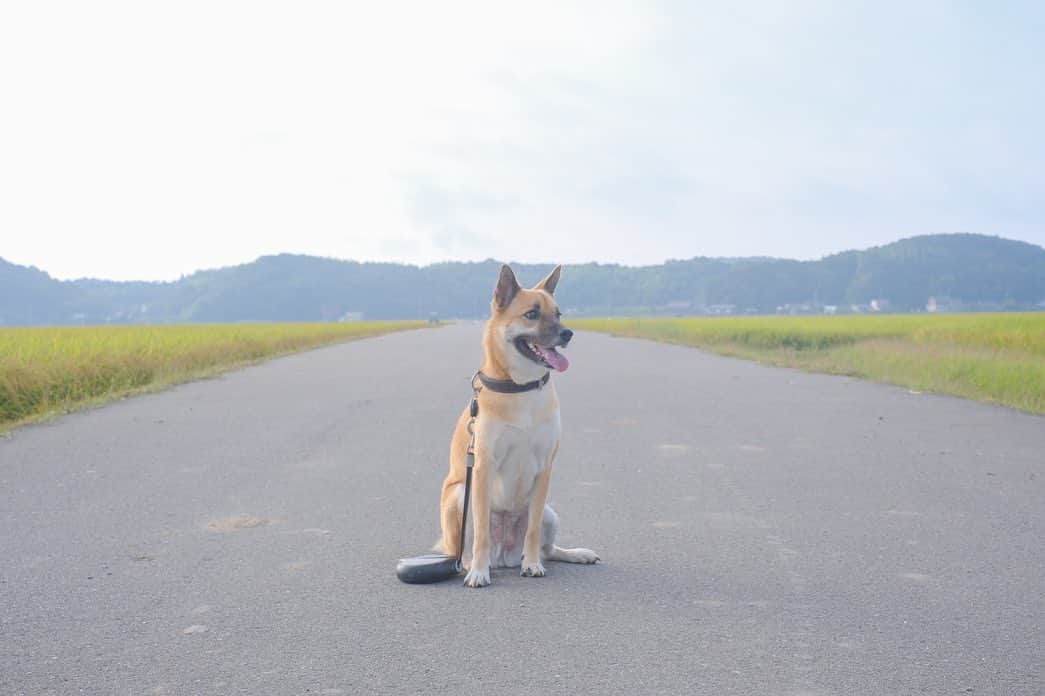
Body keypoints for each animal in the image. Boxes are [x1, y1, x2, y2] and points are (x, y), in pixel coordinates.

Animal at [432, 263, 597, 581]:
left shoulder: (545, 469)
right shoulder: (483, 467)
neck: (522, 388)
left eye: (558, 314)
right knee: (463, 549)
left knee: (548, 549)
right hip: (460, 495)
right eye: (531, 314)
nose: (568, 334)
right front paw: (479, 572)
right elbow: (481, 532)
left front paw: (531, 564)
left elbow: (533, 531)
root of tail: (505, 557)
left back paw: (572, 554)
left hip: (549, 512)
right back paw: (471, 565)